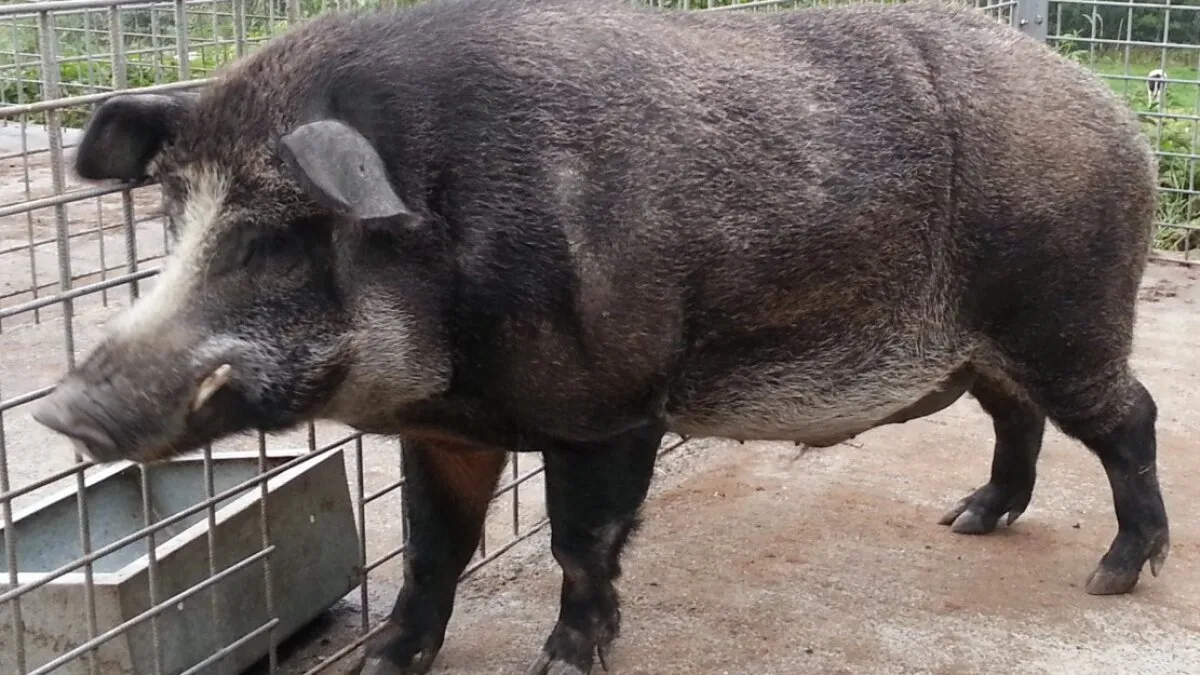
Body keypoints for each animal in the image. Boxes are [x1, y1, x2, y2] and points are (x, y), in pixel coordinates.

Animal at [33, 0, 1169, 673]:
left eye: (274, 238)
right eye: (171, 213)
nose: (63, 406)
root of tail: (1114, 113)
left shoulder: (611, 406)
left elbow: (582, 545)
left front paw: (562, 663)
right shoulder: (445, 429)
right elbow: (432, 549)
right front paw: (383, 662)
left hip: (1068, 310)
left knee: (1130, 416)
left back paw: (1114, 575)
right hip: (993, 344)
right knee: (1017, 417)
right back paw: (970, 519)